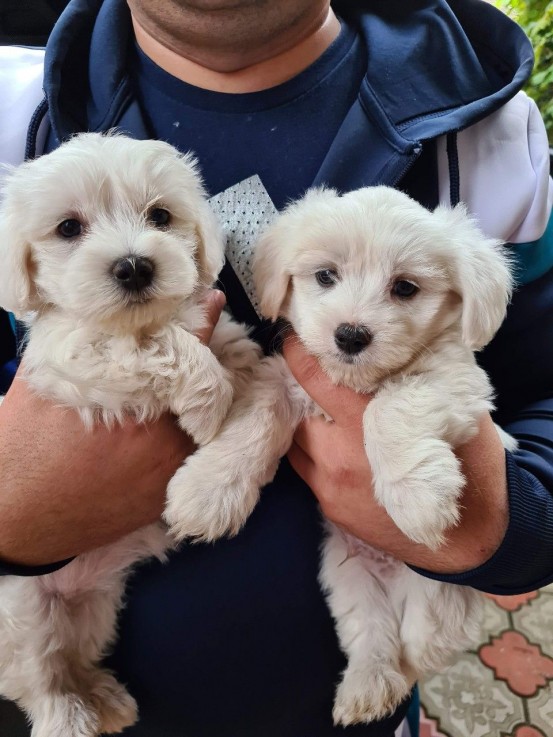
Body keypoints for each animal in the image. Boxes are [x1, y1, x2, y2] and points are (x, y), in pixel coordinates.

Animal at [0, 134, 260, 736]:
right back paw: (69, 718)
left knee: (72, 654)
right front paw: (209, 403)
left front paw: (217, 483)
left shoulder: (229, 339)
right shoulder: (78, 356)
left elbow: (253, 388)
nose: (135, 266)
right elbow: (162, 346)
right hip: (21, 613)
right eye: (68, 228)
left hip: (92, 605)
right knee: (37, 679)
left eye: (160, 216)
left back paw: (105, 698)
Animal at [169, 185, 516, 724]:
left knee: (425, 645)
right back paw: (367, 689)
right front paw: (206, 493)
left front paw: (417, 499)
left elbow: (390, 407)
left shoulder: (456, 382)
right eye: (326, 276)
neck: (355, 382)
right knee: (375, 639)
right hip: (349, 578)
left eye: (405, 288)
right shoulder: (282, 381)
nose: (351, 335)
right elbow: (251, 423)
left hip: (438, 595)